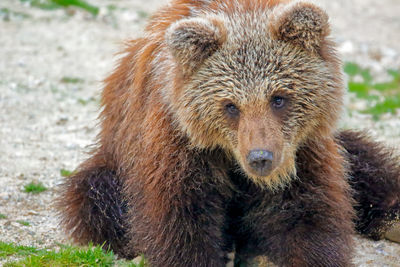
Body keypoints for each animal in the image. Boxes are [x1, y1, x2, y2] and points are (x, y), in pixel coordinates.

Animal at [57, 0, 400, 266]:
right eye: (231, 106)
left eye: (278, 98)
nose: (260, 157)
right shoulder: (177, 139)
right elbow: (181, 217)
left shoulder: (302, 149)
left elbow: (309, 213)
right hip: (113, 162)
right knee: (94, 197)